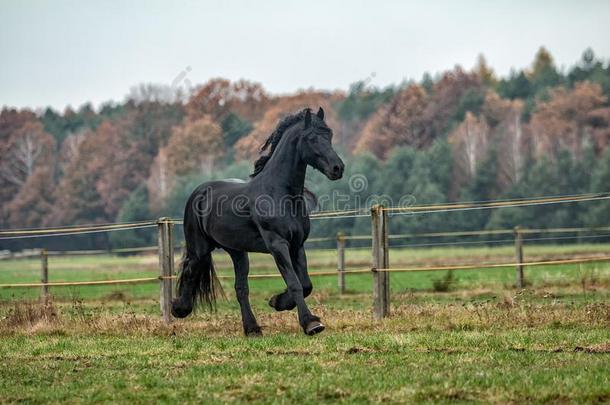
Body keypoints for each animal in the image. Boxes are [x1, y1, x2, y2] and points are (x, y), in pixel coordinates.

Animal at [170, 107, 342, 334]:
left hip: (237, 251)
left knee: (241, 288)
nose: (338, 168)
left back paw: (252, 329)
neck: (279, 193)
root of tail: (199, 192)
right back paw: (179, 308)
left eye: (329, 135)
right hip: (200, 248)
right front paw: (310, 323)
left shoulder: (297, 245)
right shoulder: (277, 244)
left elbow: (305, 284)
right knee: (190, 270)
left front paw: (278, 302)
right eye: (312, 138)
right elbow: (295, 283)